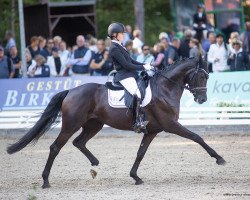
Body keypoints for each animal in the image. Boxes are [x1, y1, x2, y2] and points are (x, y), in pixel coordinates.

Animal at [7, 56, 227, 188]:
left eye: (207, 77)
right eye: (200, 76)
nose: (202, 99)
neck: (165, 88)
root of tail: (70, 91)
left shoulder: (151, 131)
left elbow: (140, 153)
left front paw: (135, 177)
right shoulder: (170, 125)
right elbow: (197, 137)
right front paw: (219, 158)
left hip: (94, 124)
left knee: (79, 142)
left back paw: (95, 164)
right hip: (71, 125)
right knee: (55, 147)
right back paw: (45, 181)